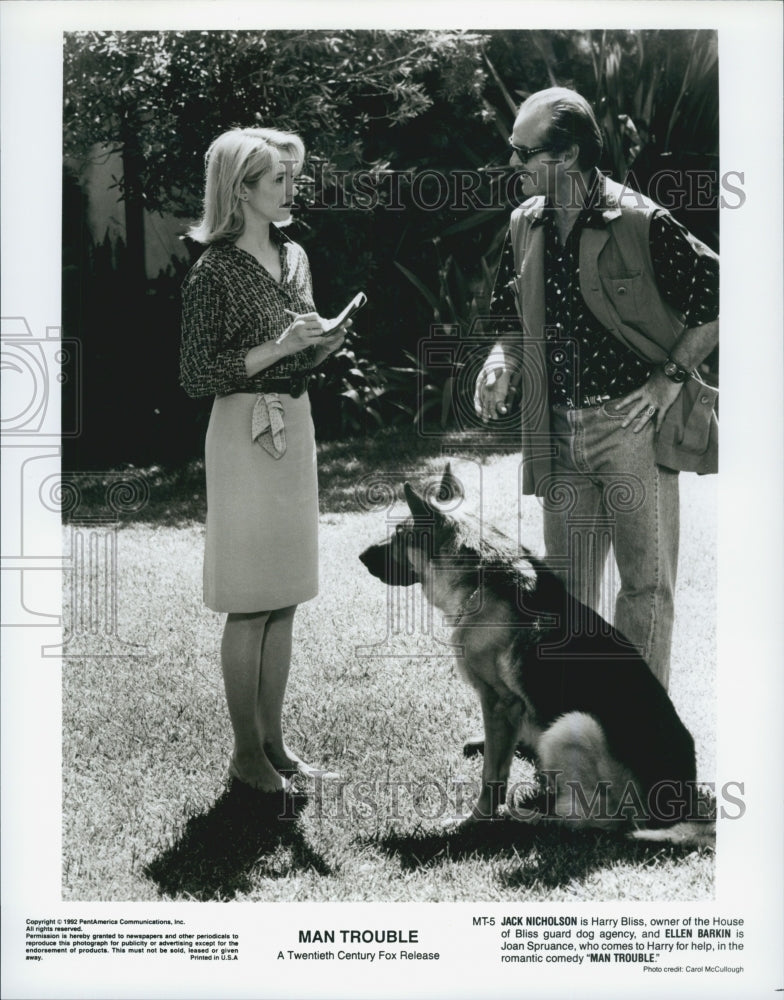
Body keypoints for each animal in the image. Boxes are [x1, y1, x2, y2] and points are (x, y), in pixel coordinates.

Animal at [362, 466, 716, 844]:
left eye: (400, 536)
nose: (361, 555)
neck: (481, 581)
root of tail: (679, 805)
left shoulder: (498, 702)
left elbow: (492, 774)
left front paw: (473, 821)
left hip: (574, 726)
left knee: (605, 821)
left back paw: (534, 818)